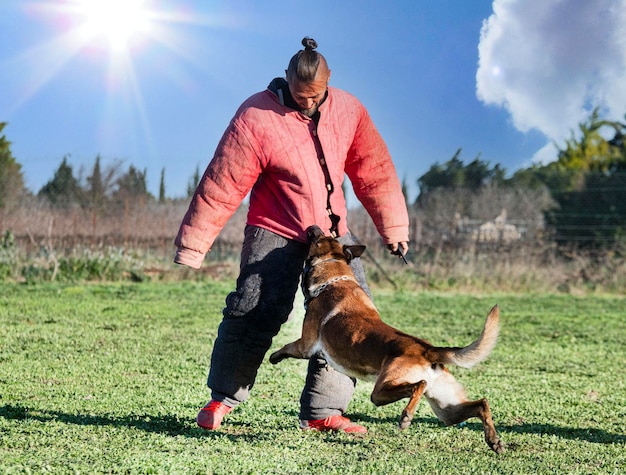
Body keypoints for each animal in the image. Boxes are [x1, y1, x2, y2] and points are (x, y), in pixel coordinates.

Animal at [268, 227, 502, 454]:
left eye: (319, 238)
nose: (313, 226)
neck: (334, 278)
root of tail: (427, 350)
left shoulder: (305, 345)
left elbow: (287, 347)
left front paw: (273, 357)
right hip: (447, 409)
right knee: (481, 403)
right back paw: (494, 441)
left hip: (381, 391)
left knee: (419, 385)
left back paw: (406, 417)